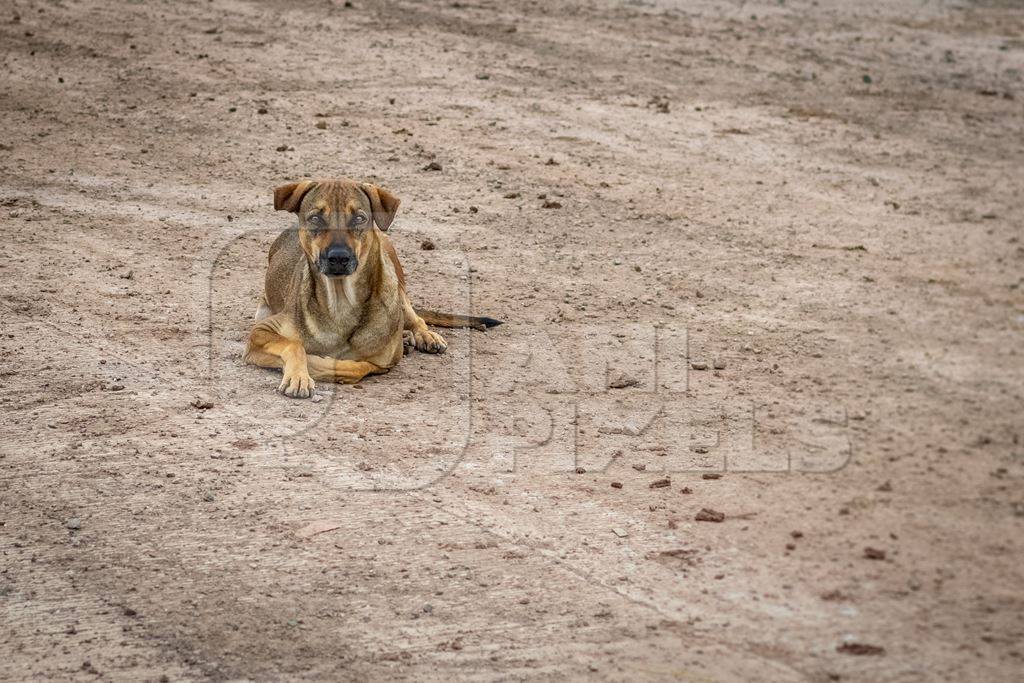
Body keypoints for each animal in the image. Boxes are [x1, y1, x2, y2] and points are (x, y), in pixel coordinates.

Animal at [243, 179, 499, 397]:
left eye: (359, 218)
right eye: (316, 218)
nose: (339, 257)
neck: (341, 302)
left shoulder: (386, 360)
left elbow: (357, 367)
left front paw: (320, 364)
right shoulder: (261, 331)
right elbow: (294, 344)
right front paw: (299, 376)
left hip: (396, 278)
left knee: (415, 317)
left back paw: (423, 334)